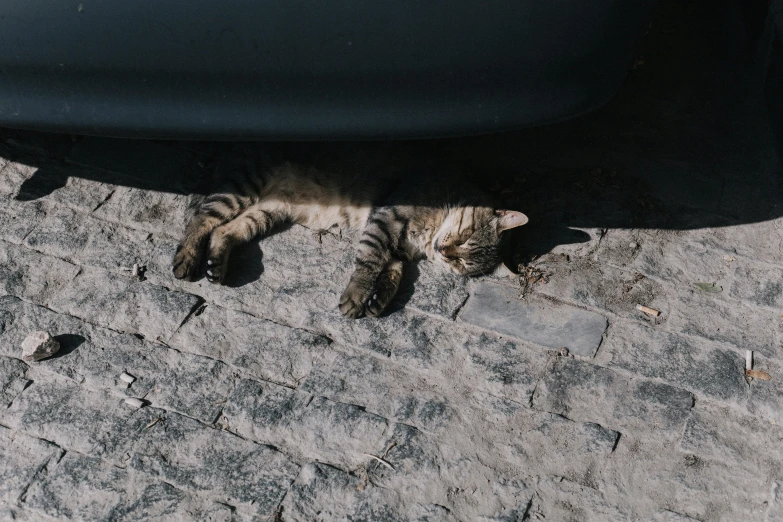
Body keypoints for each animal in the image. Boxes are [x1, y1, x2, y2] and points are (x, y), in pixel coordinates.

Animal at [172, 145, 528, 316]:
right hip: (244, 184)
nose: (446, 251)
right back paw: (186, 260)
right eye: (465, 237)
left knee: (225, 230)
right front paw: (356, 296)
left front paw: (378, 300)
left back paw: (215, 266)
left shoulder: (396, 245)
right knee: (203, 217)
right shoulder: (385, 220)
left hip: (268, 211)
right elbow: (368, 264)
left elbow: (392, 273)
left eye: (462, 263)